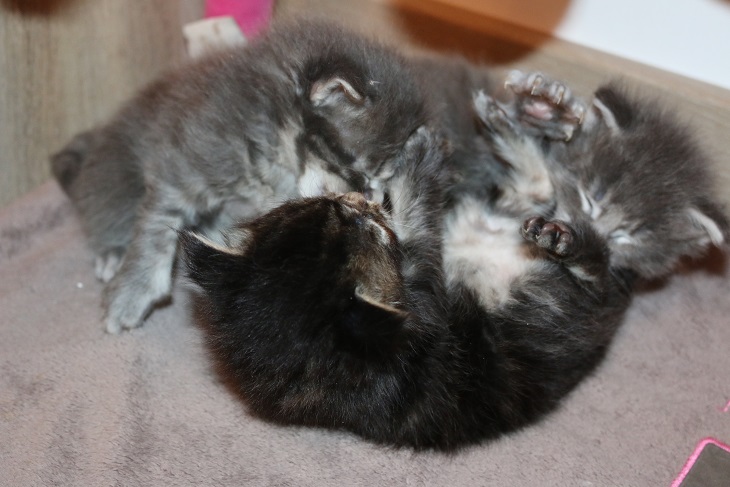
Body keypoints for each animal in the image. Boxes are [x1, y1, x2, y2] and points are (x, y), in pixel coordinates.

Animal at [50, 20, 440, 334]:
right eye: (359, 171)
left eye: (382, 186)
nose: (368, 202)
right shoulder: (185, 162)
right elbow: (157, 227)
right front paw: (132, 291)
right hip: (116, 173)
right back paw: (112, 254)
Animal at [182, 72, 728, 450]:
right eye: (358, 225)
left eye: (324, 208)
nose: (357, 200)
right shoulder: (423, 315)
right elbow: (420, 238)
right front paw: (418, 170)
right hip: (567, 303)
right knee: (584, 262)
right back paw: (563, 230)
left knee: (537, 190)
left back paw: (520, 123)